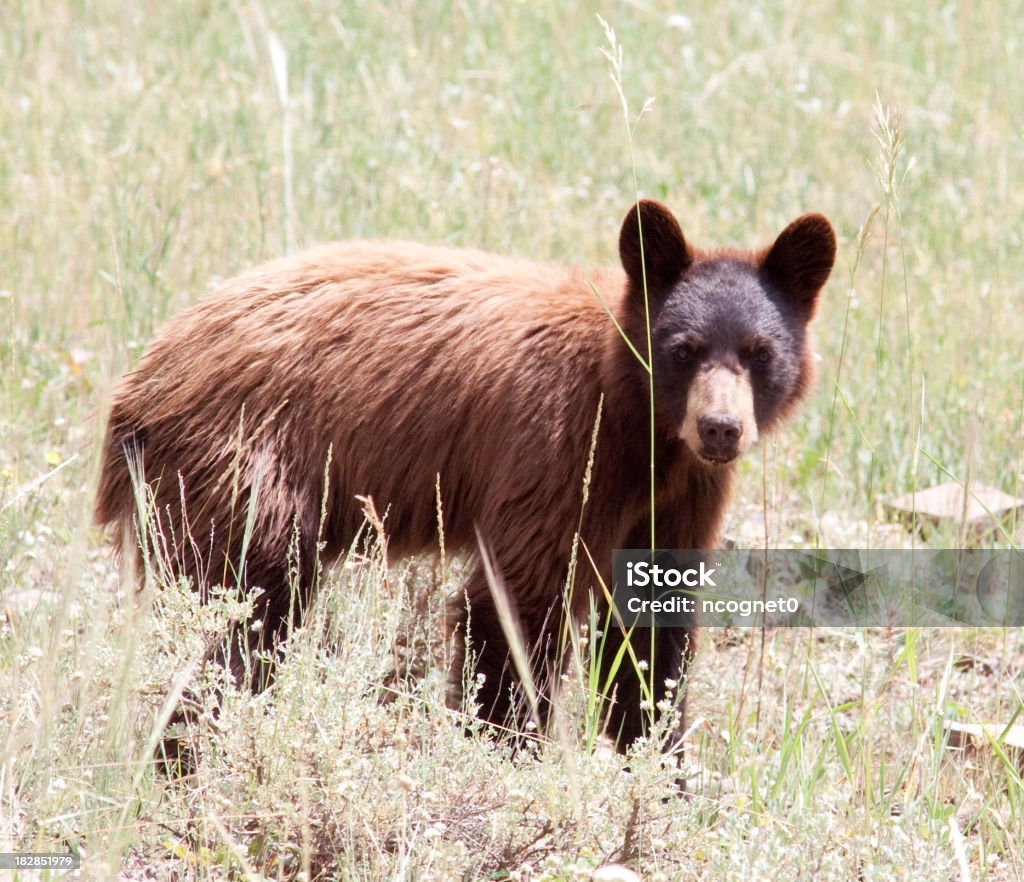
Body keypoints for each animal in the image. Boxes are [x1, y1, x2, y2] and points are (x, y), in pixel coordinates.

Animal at [94, 201, 831, 749]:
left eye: (760, 352)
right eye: (683, 349)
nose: (721, 428)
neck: (643, 425)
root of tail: (142, 380)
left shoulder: (682, 492)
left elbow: (652, 624)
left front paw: (656, 770)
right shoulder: (561, 447)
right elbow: (521, 600)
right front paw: (508, 754)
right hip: (242, 466)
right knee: (240, 612)